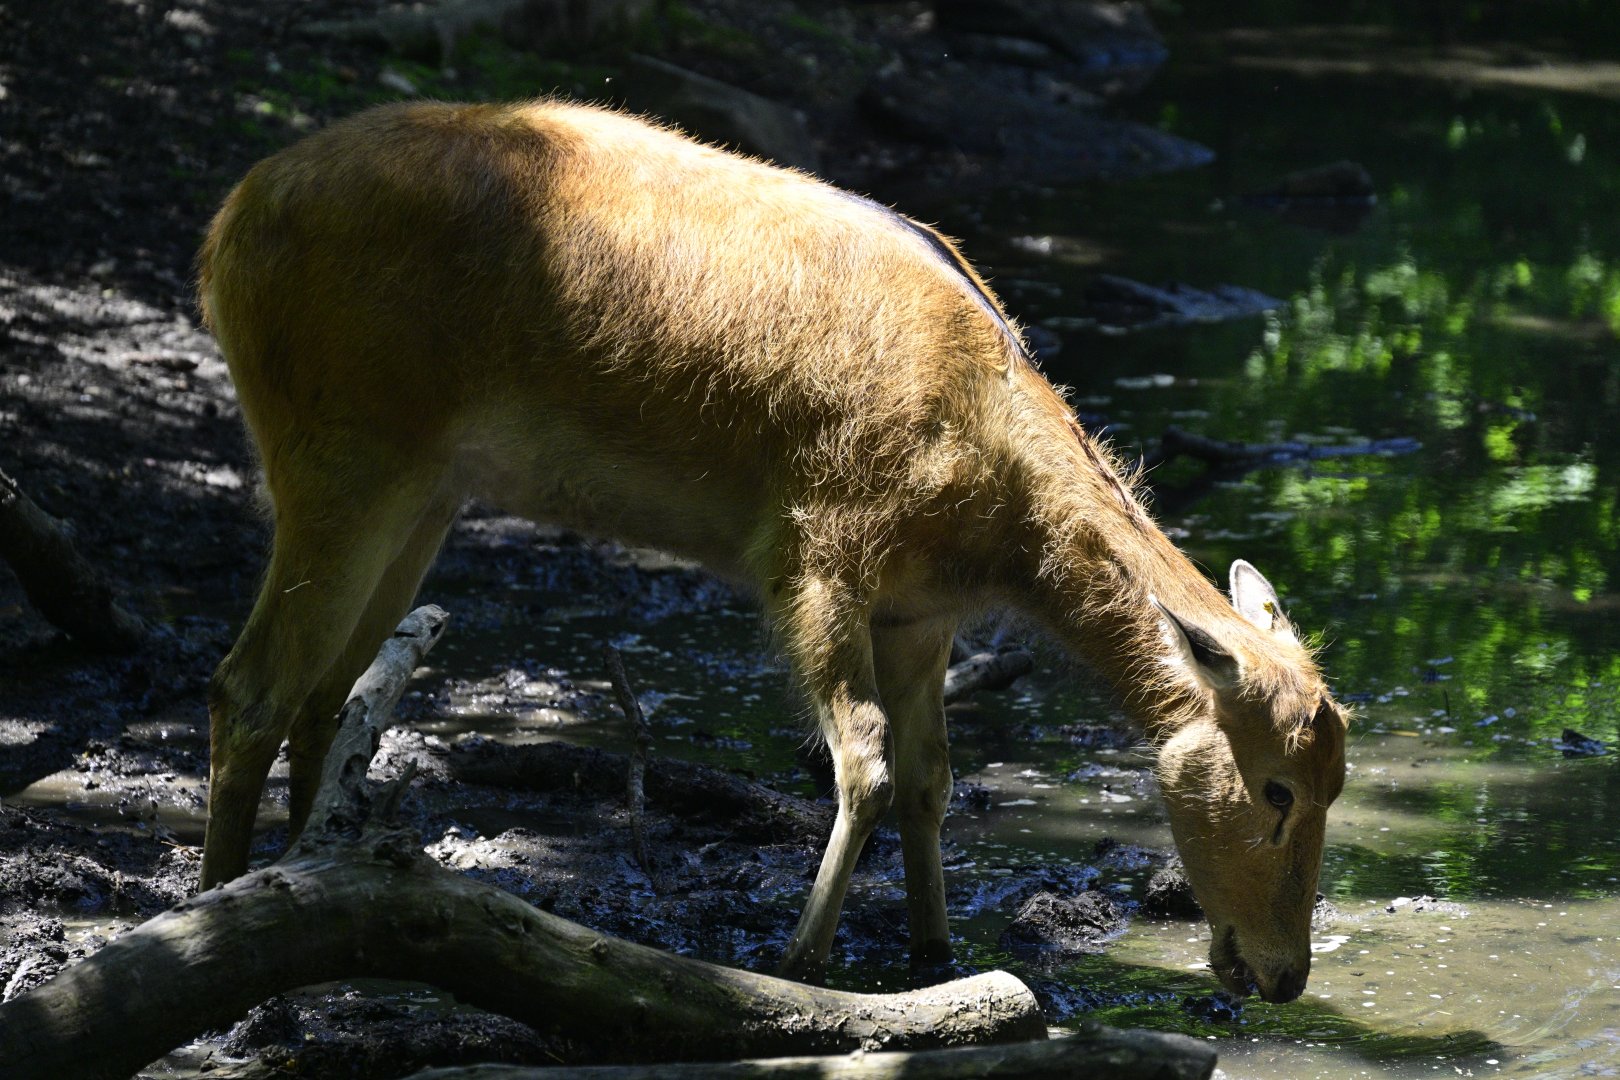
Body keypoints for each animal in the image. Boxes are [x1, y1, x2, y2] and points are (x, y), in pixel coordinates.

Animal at [196, 99, 1348, 1003]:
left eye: (1335, 782)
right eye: (1276, 790)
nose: (1284, 974)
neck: (990, 526)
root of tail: (226, 226)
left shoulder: (920, 611)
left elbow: (932, 776)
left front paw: (934, 950)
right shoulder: (814, 551)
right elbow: (865, 762)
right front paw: (800, 960)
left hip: (426, 489)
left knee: (325, 693)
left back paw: (318, 883)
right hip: (337, 444)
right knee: (247, 684)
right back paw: (219, 918)